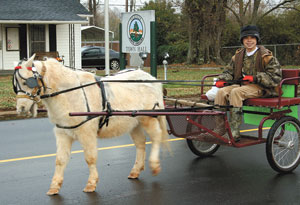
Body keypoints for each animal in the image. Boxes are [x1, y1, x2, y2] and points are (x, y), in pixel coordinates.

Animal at [14, 54, 169, 195]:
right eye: (15, 85)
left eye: (27, 82)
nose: (21, 108)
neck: (71, 94)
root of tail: (152, 79)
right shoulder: (63, 133)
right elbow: (60, 160)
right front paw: (54, 186)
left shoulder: (87, 132)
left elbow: (90, 158)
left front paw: (91, 183)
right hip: (134, 122)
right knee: (140, 143)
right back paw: (136, 170)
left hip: (148, 118)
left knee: (156, 137)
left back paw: (154, 165)